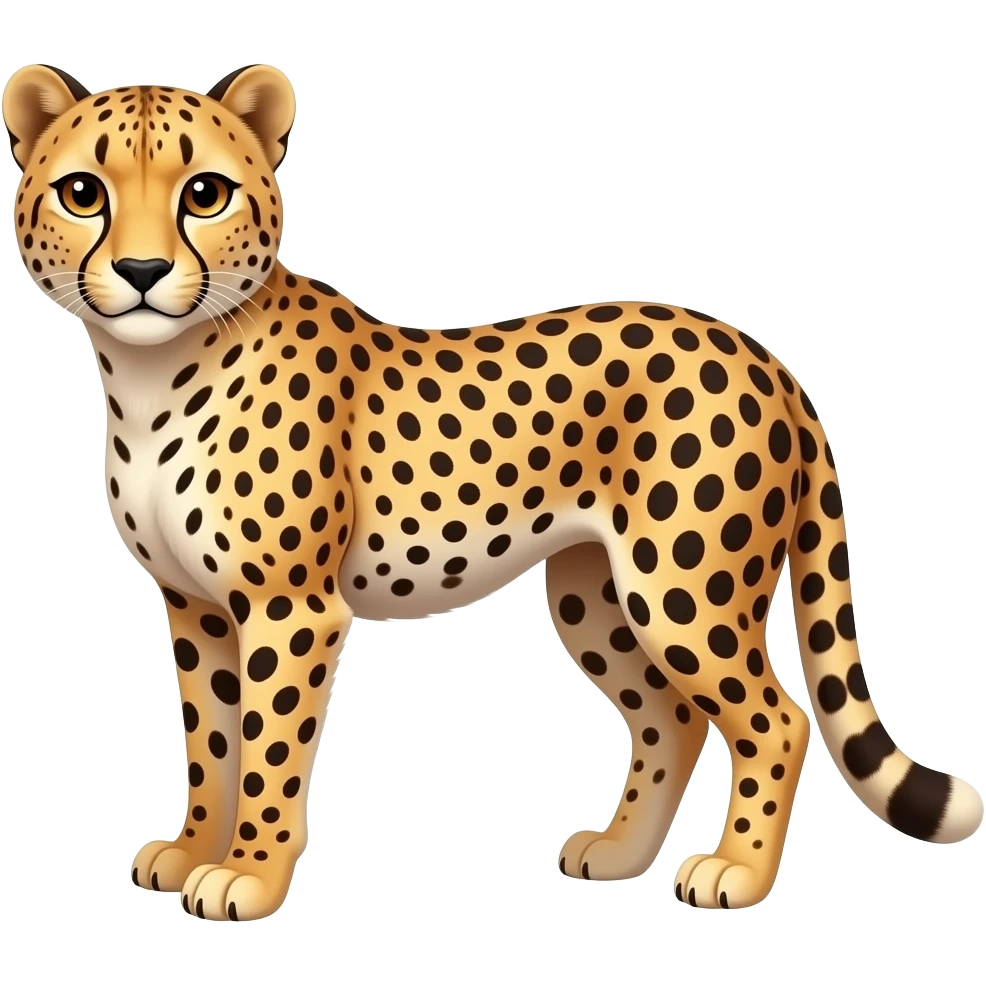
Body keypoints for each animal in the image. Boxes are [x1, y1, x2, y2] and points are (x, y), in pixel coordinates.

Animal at [4, 61, 982, 921]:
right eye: (84, 192)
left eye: (204, 194)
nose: (140, 274)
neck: (151, 372)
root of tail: (759, 352)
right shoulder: (196, 607)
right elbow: (211, 743)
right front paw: (192, 850)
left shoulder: (289, 608)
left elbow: (268, 754)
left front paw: (248, 876)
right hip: (596, 596)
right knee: (671, 719)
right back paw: (620, 853)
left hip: (683, 590)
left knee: (777, 720)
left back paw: (735, 873)